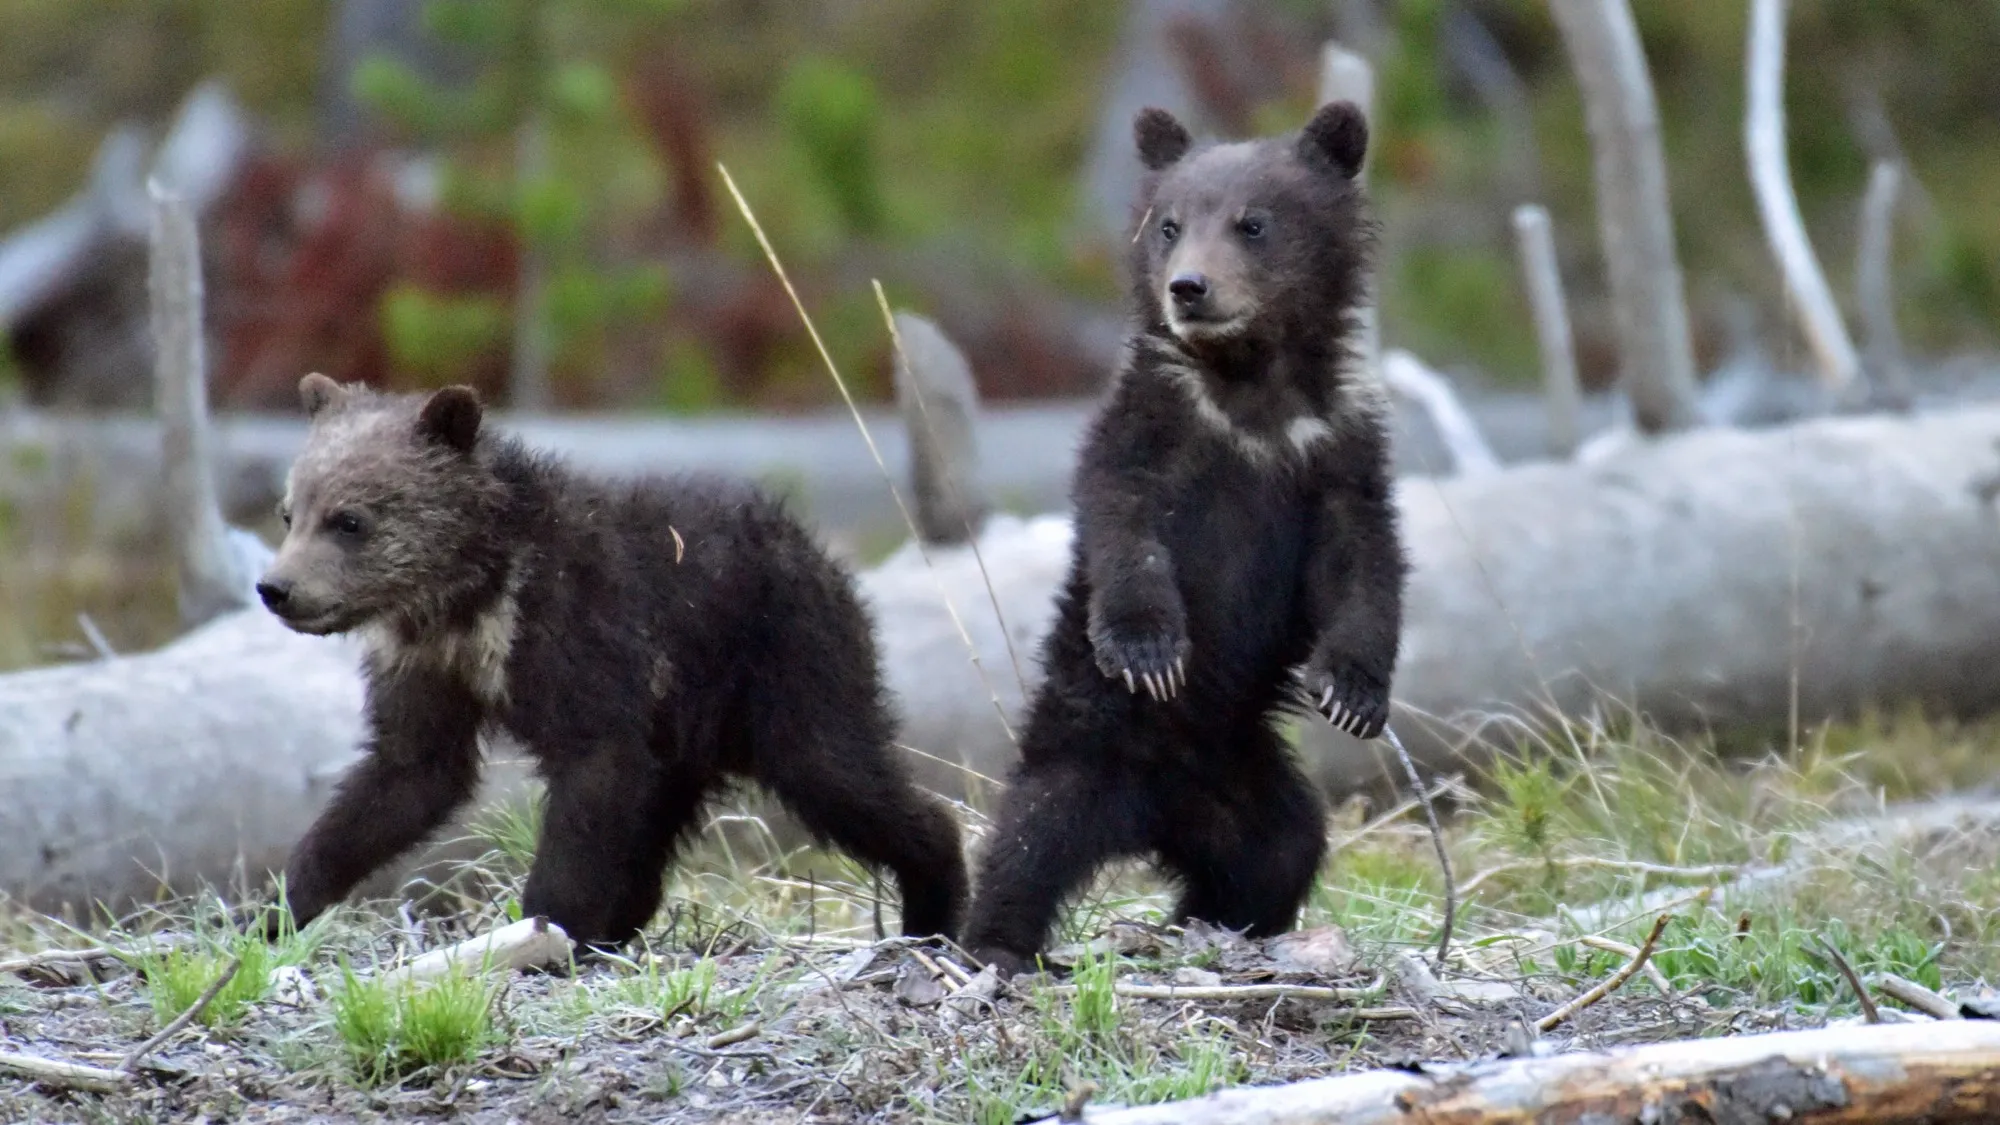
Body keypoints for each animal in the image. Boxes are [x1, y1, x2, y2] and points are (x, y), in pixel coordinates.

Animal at [254, 374, 969, 948]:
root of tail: (820, 553)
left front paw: (544, 923)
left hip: (786, 663)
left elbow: (590, 782)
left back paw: (935, 898)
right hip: (685, 729)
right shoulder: (430, 666)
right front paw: (281, 906)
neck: (473, 595)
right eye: (291, 512)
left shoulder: (583, 640)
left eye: (350, 520)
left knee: (839, 772)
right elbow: (406, 777)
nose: (276, 588)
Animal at [960, 101, 1403, 975]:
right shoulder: (1155, 425)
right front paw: (1148, 646)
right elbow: (1125, 521)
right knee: (1029, 835)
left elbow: (1364, 558)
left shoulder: (1335, 445)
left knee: (1281, 850)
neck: (1249, 388)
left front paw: (1354, 689)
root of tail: (1153, 809)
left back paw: (1219, 924)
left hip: (1245, 781)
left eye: (1253, 223)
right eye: (1167, 225)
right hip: (1085, 746)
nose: (1189, 288)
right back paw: (995, 942)